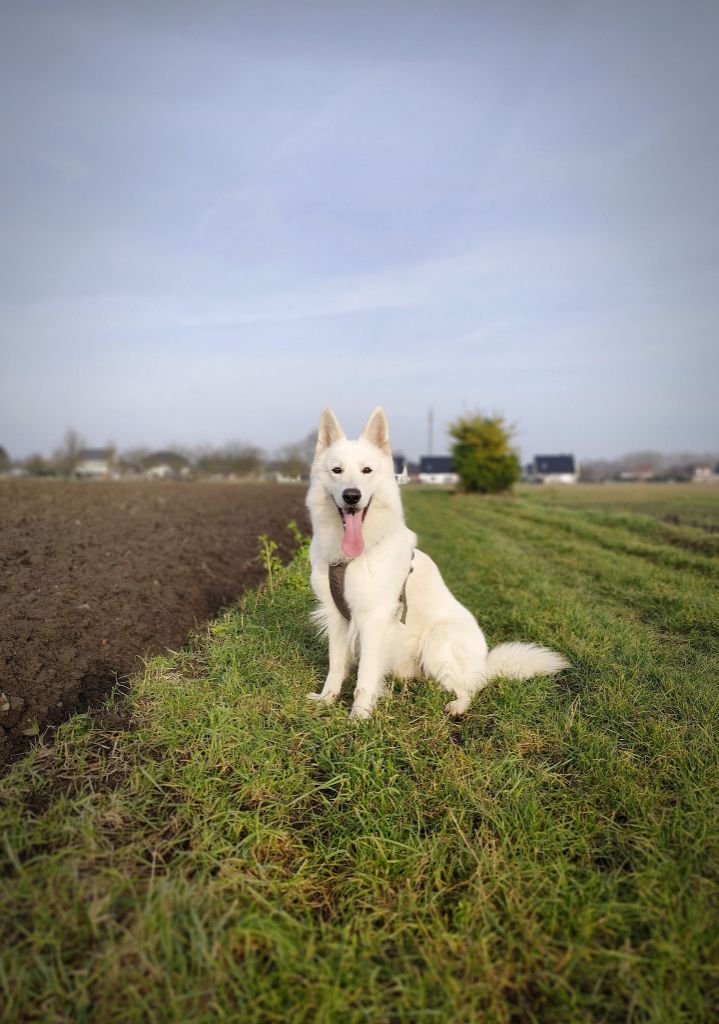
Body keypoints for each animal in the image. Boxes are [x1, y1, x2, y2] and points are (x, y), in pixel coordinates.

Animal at [306, 407, 568, 719]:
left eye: (366, 470)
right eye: (337, 471)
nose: (351, 496)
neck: (352, 557)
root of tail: (485, 665)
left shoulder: (373, 619)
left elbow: (365, 678)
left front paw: (359, 716)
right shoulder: (337, 617)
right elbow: (336, 666)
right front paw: (327, 699)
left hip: (436, 640)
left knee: (471, 688)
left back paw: (456, 706)